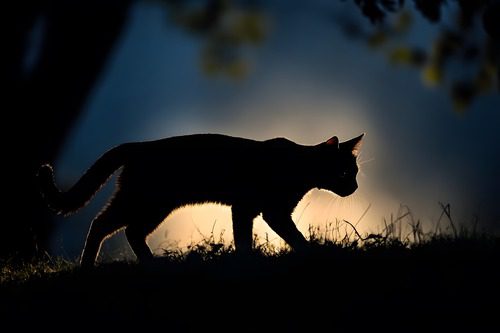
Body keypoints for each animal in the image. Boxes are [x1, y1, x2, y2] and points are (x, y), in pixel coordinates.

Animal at [38, 132, 364, 264]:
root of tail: (137, 145)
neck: (297, 165)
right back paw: (87, 268)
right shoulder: (263, 210)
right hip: (140, 201)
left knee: (130, 231)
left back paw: (153, 264)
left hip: (155, 206)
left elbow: (245, 238)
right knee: (100, 224)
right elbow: (290, 237)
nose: (355, 187)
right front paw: (312, 254)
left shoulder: (250, 210)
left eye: (355, 171)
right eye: (344, 172)